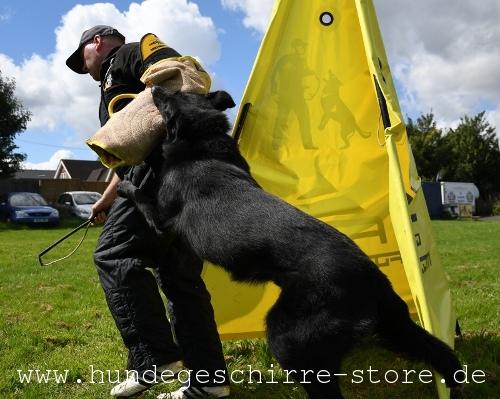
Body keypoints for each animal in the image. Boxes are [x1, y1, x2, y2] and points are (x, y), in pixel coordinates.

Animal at [117, 87, 460, 399]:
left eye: (170, 97)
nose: (153, 87)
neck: (201, 137)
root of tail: (375, 280)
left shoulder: (163, 222)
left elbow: (140, 196)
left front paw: (125, 183)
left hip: (288, 337)